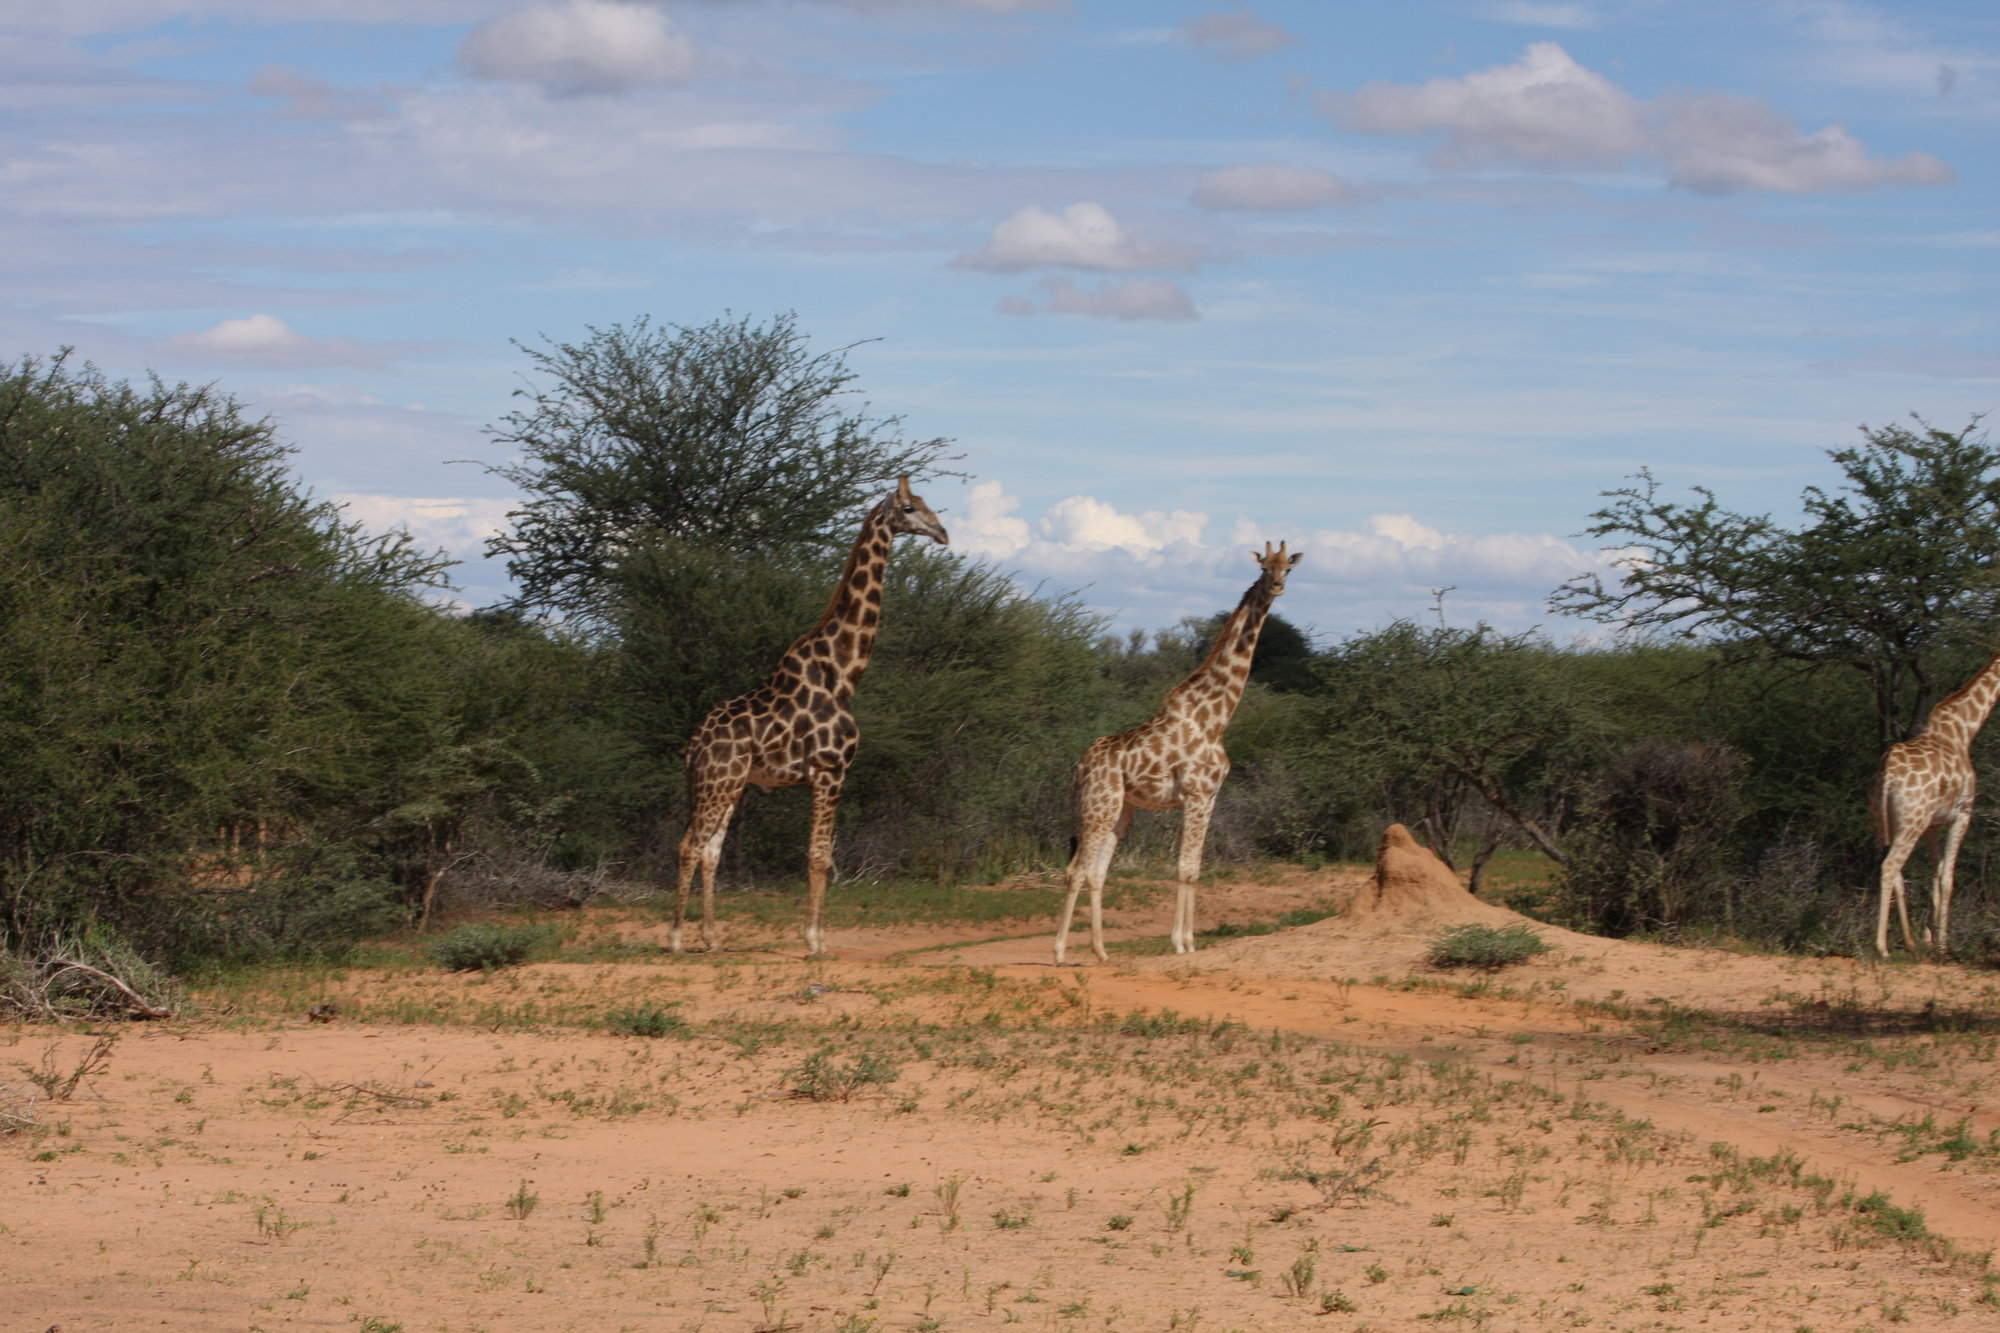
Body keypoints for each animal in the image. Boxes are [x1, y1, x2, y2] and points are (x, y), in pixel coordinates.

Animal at [676, 478, 948, 956]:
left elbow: (820, 857)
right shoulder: (830, 770)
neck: (843, 673)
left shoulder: (825, 775)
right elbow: (819, 857)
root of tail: (696, 744)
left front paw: (814, 937)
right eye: (910, 508)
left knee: (709, 849)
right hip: (717, 781)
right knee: (689, 845)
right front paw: (815, 942)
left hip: (727, 783)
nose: (943, 533)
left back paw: (711, 939)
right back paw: (673, 939)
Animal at [1056, 540, 1304, 964]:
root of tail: (1080, 765)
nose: (1276, 586)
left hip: (1120, 810)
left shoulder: (1211, 797)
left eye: (1288, 567)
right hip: (1098, 805)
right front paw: (1182, 943)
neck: (1216, 719)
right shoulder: (1196, 794)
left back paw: (1101, 952)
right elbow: (1185, 867)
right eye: (1264, 567)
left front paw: (1189, 941)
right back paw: (1058, 952)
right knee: (1076, 870)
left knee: (1096, 871)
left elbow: (1196, 868)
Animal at [1864, 644, 2000, 948]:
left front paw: (1929, 937)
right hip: (1912, 820)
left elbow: (1935, 876)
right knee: (1890, 865)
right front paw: (1943, 944)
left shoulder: (1933, 824)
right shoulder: (1962, 814)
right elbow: (1948, 878)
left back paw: (1909, 941)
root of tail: (1888, 773)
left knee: (1893, 868)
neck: (1963, 730)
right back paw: (1882, 947)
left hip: (1883, 819)